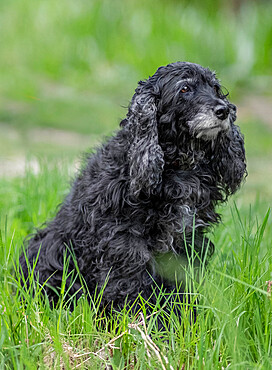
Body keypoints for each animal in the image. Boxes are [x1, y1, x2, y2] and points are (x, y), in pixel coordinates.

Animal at [19, 62, 246, 316]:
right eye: (185, 89)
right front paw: (141, 320)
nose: (223, 110)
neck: (177, 167)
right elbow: (130, 286)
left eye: (215, 88)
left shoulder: (187, 240)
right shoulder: (124, 241)